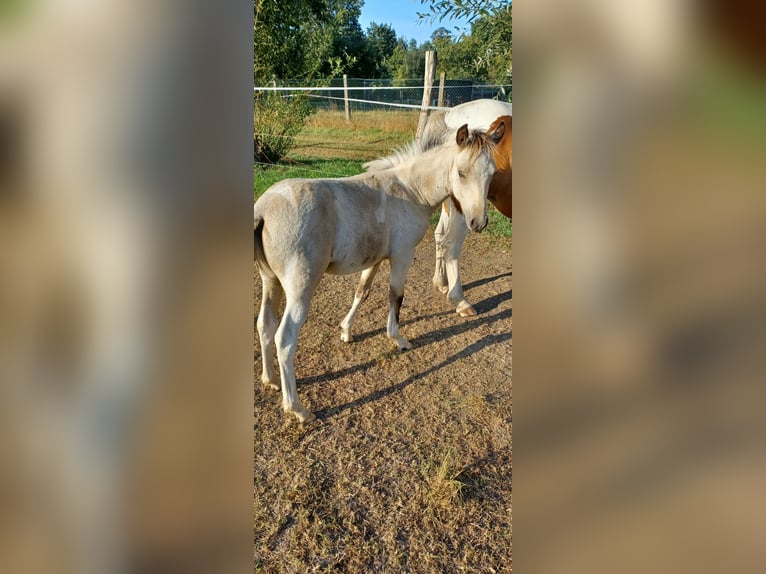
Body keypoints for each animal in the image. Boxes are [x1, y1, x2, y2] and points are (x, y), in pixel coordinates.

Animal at [254, 124, 504, 426]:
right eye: (461, 172)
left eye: (492, 173)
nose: (478, 223)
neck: (409, 190)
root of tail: (263, 209)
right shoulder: (402, 255)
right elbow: (396, 296)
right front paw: (398, 339)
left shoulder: (373, 259)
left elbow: (362, 291)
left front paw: (346, 331)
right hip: (300, 287)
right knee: (285, 339)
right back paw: (297, 408)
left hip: (270, 281)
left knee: (265, 325)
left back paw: (270, 380)